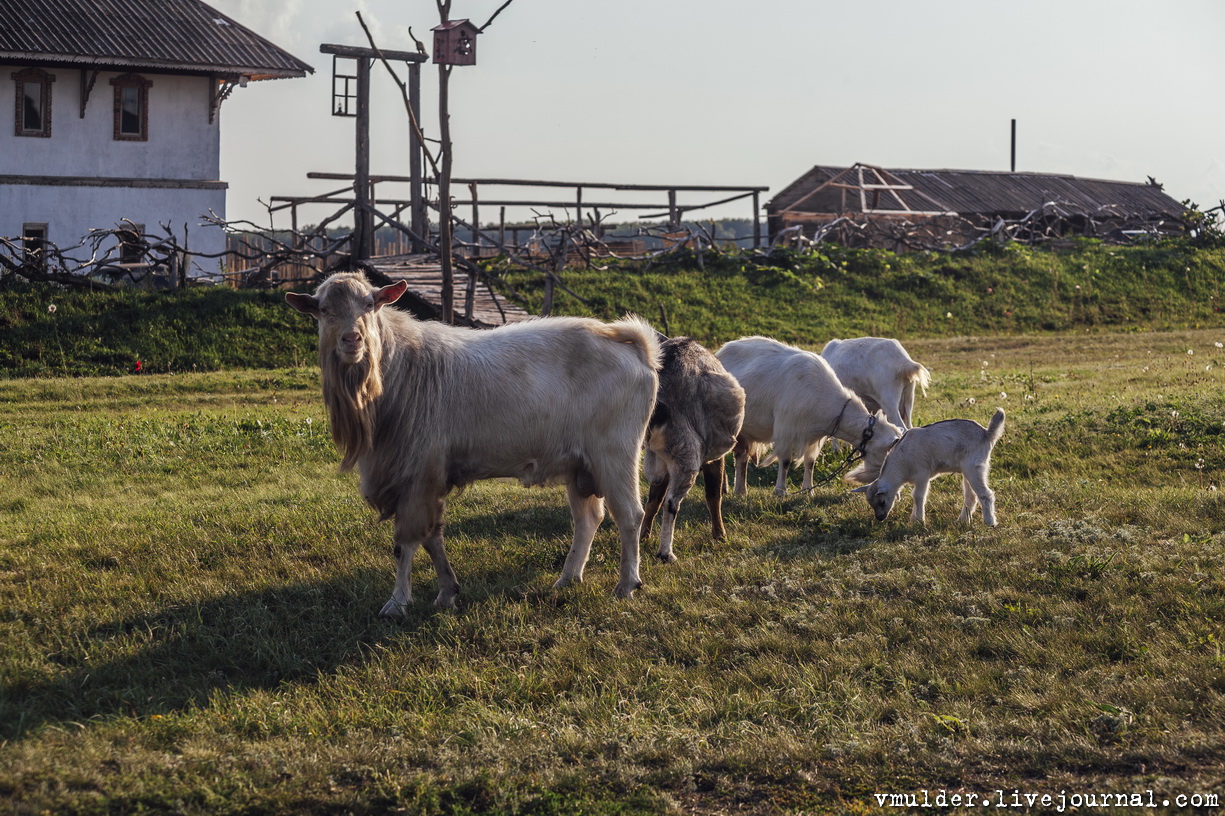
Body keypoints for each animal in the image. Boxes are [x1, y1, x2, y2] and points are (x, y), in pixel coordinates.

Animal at [285, 269, 661, 612]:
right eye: (323, 310)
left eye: (369, 304)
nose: (352, 340)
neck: (399, 367)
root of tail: (634, 348)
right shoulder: (422, 476)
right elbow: (432, 537)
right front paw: (447, 591)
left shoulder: (417, 474)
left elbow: (406, 541)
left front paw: (398, 601)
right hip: (579, 463)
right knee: (588, 518)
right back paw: (568, 578)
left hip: (614, 454)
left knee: (630, 515)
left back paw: (626, 584)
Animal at [641, 335, 744, 558]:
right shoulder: (713, 456)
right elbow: (713, 496)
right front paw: (720, 536)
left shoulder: (663, 462)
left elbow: (653, 501)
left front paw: (644, 536)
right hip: (685, 454)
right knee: (671, 502)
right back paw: (666, 553)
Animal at [852, 406, 1004, 526]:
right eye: (871, 504)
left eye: (882, 502)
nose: (880, 518)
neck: (902, 463)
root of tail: (986, 433)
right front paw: (914, 520)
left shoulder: (922, 474)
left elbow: (918, 496)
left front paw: (918, 521)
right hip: (969, 469)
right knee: (971, 496)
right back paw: (962, 520)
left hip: (974, 467)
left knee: (985, 494)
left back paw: (989, 522)